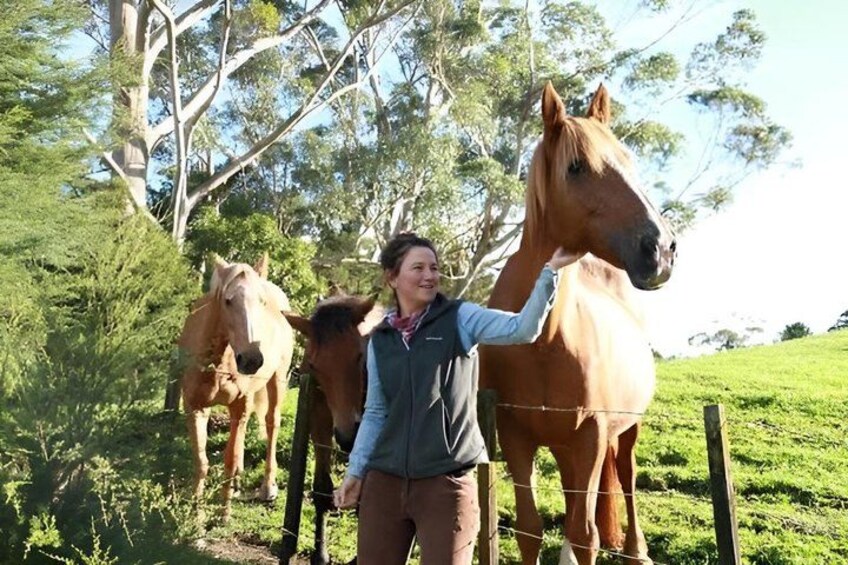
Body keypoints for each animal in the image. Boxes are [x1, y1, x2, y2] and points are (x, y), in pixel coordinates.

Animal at [178, 253, 294, 520]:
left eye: (262, 302)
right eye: (228, 301)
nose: (252, 359)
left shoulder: (239, 404)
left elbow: (229, 460)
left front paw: (225, 511)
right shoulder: (195, 408)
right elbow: (201, 461)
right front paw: (196, 512)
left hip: (278, 380)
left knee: (271, 423)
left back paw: (267, 487)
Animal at [284, 295, 382, 565]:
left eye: (360, 356)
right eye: (315, 365)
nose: (348, 436)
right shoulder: (319, 418)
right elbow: (321, 489)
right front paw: (320, 555)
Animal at [480, 82, 676, 565]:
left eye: (627, 159)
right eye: (576, 167)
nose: (661, 249)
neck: (545, 342)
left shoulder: (591, 436)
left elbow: (586, 534)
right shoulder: (516, 436)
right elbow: (530, 529)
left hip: (623, 431)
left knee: (626, 477)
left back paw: (636, 550)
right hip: (565, 445)